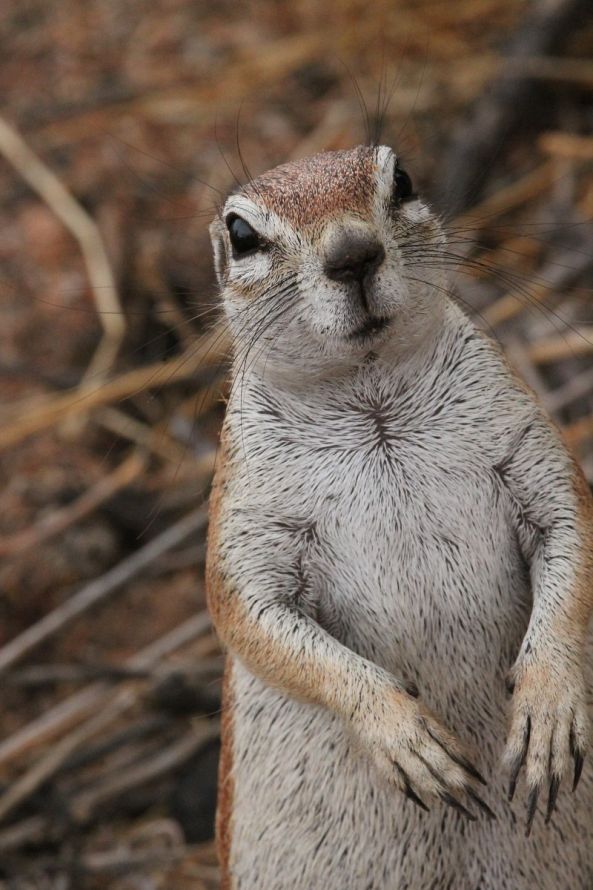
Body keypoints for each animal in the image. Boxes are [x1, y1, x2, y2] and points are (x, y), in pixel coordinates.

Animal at [205, 142, 592, 884]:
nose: (353, 253)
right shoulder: (246, 527)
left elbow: (572, 536)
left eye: (403, 179)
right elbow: (252, 619)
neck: (371, 398)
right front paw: (401, 733)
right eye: (241, 234)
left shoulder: (532, 456)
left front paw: (547, 704)